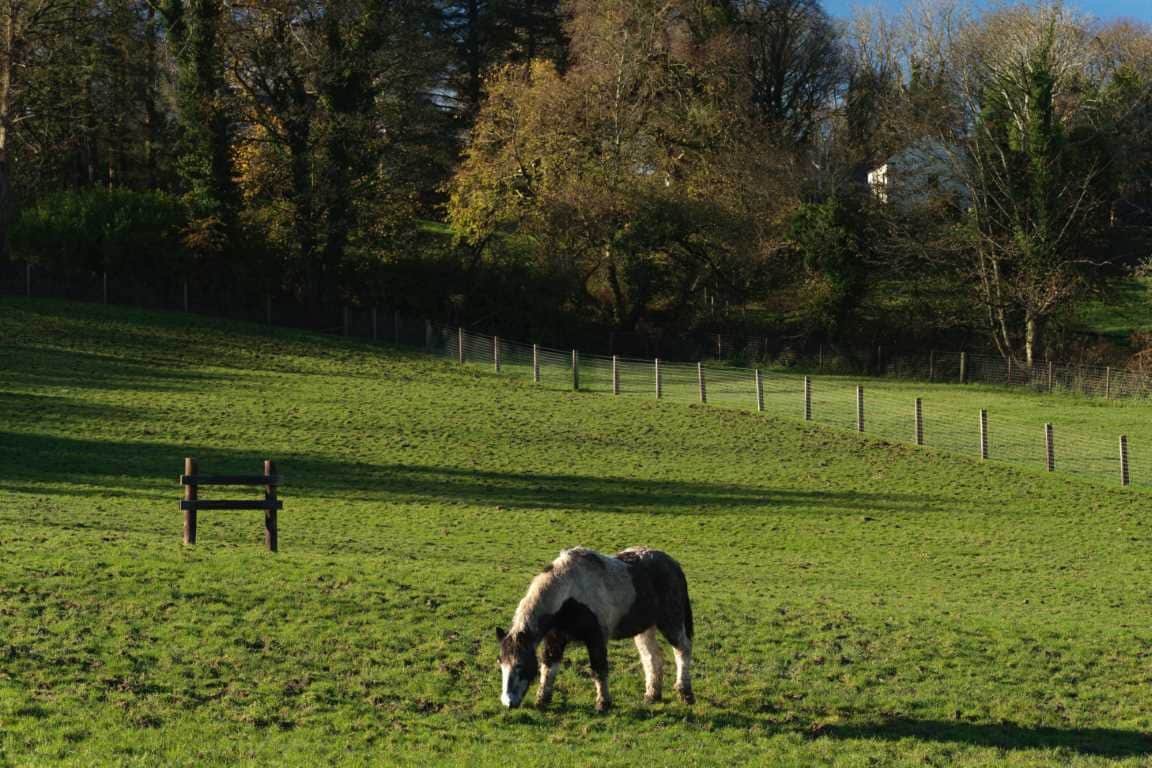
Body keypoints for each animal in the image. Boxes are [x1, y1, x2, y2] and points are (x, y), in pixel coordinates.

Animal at [496, 546, 694, 712]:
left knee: (682, 650)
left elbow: (599, 669)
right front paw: (542, 700)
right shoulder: (555, 639)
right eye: (501, 664)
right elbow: (549, 667)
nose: (508, 702)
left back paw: (685, 693)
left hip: (671, 622)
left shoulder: (596, 639)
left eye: (520, 665)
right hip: (645, 629)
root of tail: (674, 565)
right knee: (651, 657)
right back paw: (652, 696)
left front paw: (603, 703)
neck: (568, 594)